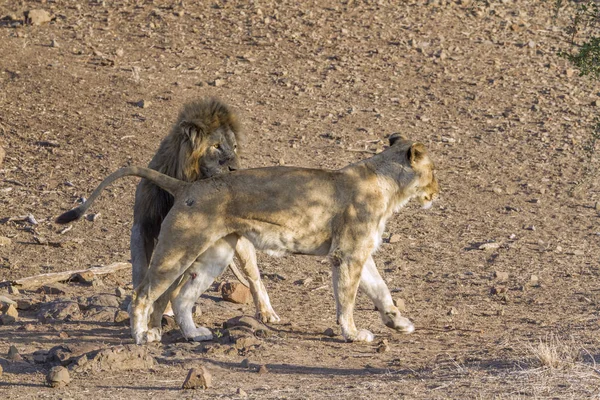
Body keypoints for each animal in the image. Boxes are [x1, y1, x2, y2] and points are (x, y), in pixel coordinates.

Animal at [58, 97, 278, 340]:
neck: (187, 177)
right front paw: (140, 310)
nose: (237, 169)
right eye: (217, 146)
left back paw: (266, 312)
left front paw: (153, 319)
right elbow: (141, 271)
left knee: (253, 276)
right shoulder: (143, 226)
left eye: (235, 147)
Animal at [58, 134, 438, 344]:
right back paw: (141, 336)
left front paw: (399, 322)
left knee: (181, 298)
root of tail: (187, 186)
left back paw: (194, 335)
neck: (389, 186)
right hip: (178, 250)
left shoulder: (361, 252)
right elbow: (347, 299)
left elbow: (381, 290)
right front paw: (353, 334)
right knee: (142, 294)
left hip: (216, 255)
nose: (437, 193)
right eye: (433, 172)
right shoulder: (346, 254)